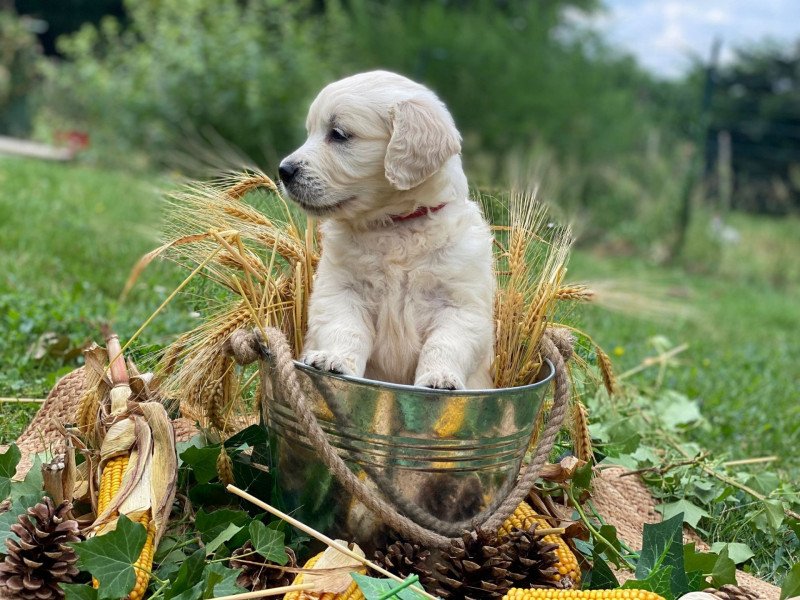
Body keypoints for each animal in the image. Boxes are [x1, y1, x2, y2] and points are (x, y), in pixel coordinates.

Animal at [280, 71, 494, 390]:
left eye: (338, 134)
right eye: (310, 132)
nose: (283, 170)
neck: (396, 225)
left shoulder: (460, 304)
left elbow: (446, 343)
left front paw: (439, 379)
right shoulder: (342, 290)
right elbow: (344, 329)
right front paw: (333, 359)